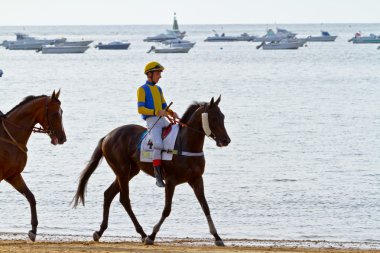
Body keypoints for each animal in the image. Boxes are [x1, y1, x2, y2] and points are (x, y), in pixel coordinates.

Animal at [0, 90, 66, 241]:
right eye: (55, 113)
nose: (63, 138)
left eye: (62, 112)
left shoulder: (13, 175)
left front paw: (33, 230)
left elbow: (31, 197)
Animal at [72, 96, 230, 246]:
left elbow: (206, 207)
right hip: (122, 170)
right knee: (125, 199)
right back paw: (142, 233)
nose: (226, 140)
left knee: (108, 194)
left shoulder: (196, 179)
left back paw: (100, 231)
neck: (184, 144)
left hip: (130, 171)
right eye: (214, 118)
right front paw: (152, 236)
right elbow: (167, 209)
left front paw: (217, 237)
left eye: (223, 117)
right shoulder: (171, 181)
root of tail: (107, 136)